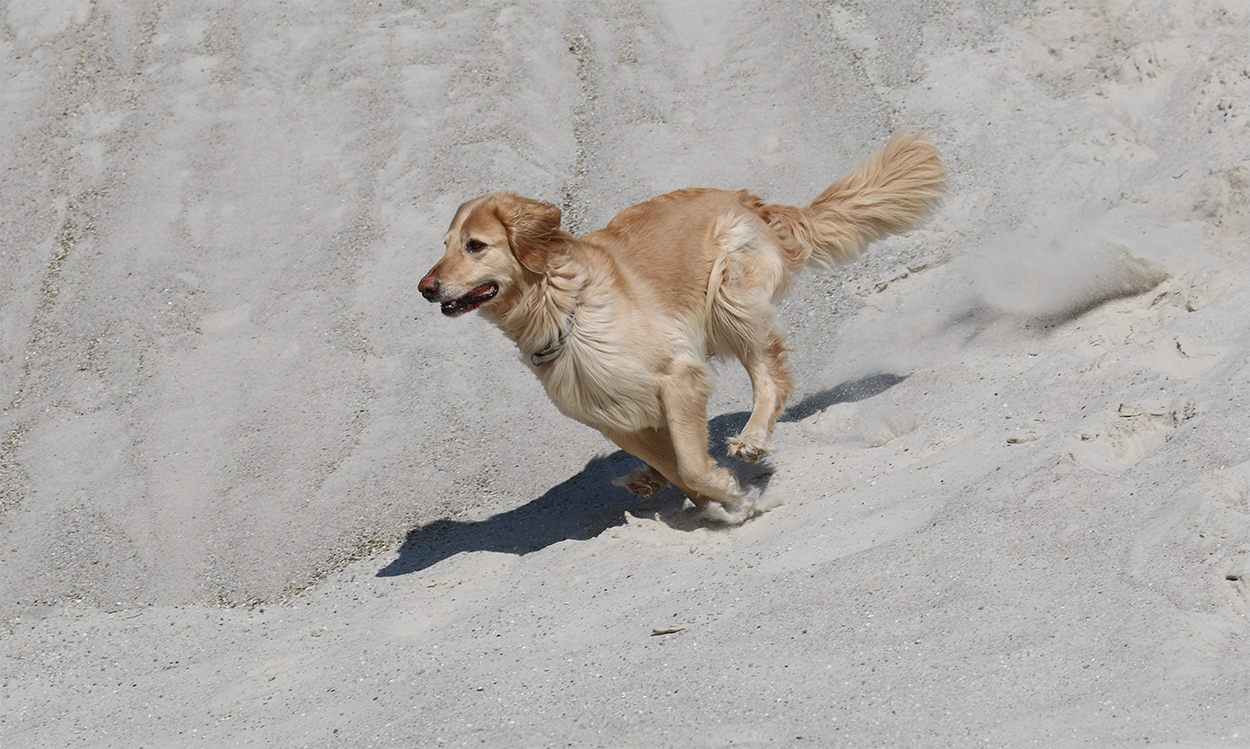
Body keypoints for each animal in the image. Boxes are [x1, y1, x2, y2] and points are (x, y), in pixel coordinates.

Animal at [419, 133, 945, 522]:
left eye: (475, 245)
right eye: (445, 245)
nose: (425, 287)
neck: (561, 304)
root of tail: (749, 200)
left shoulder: (678, 375)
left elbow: (691, 464)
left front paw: (734, 497)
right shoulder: (611, 416)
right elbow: (674, 465)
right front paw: (709, 499)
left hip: (730, 295)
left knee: (772, 377)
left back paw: (751, 439)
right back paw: (651, 478)